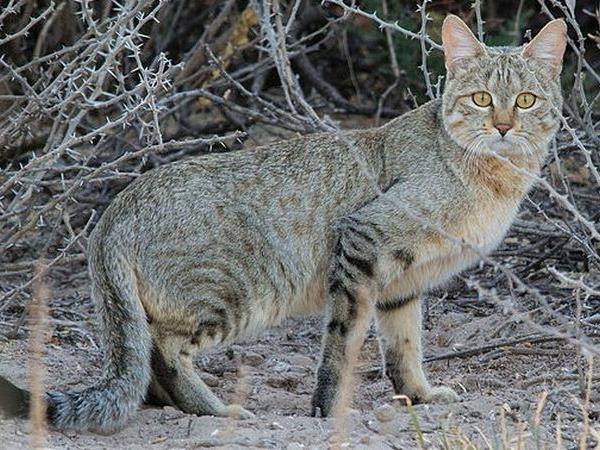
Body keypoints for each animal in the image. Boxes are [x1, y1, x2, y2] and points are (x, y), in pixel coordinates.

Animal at [0, 14, 568, 432]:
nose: (503, 126)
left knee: (149, 366)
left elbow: (404, 348)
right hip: (231, 292)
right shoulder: (364, 238)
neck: (495, 179)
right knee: (163, 351)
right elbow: (343, 342)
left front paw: (420, 396)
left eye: (525, 101)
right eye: (480, 99)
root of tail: (117, 206)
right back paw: (215, 410)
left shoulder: (402, 284)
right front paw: (328, 409)